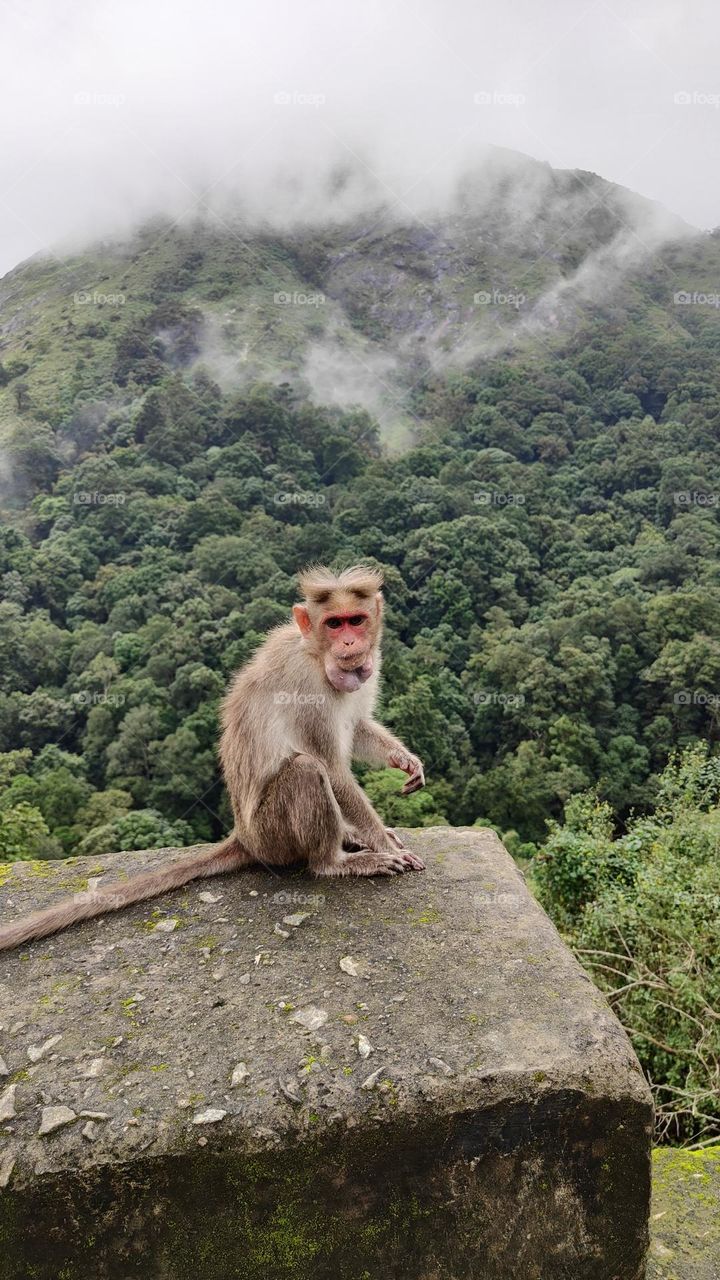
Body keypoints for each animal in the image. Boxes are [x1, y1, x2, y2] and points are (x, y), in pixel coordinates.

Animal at [0, 565, 425, 951]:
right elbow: (333, 769)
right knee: (307, 770)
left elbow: (356, 725)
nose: (350, 645)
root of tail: (243, 836)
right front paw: (385, 847)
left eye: (356, 620)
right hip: (272, 836)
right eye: (334, 624)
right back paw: (334, 861)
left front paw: (404, 760)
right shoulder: (306, 687)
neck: (316, 654)